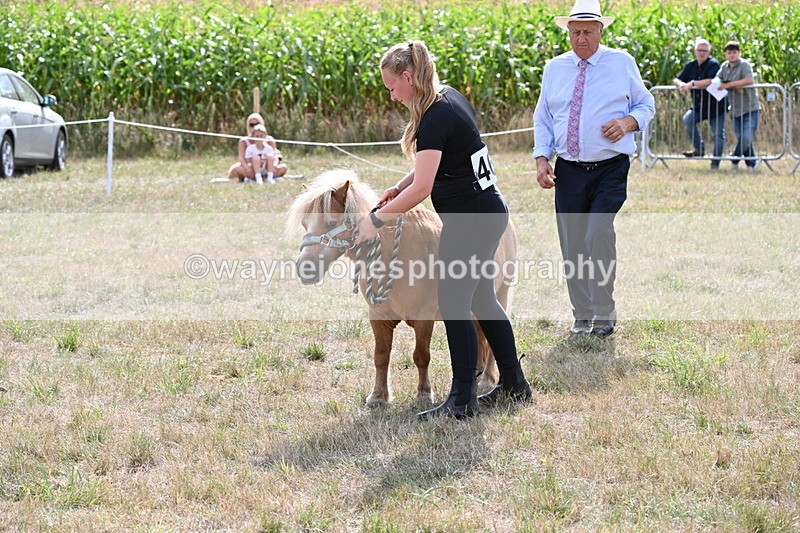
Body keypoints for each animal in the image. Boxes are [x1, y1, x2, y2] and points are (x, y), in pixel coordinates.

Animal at [286, 169, 517, 407]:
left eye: (331, 223)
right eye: (305, 224)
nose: (305, 269)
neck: (395, 255)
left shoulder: (423, 318)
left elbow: (421, 355)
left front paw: (424, 393)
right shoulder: (378, 317)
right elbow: (381, 356)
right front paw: (378, 396)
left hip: (500, 294)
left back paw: (488, 379)